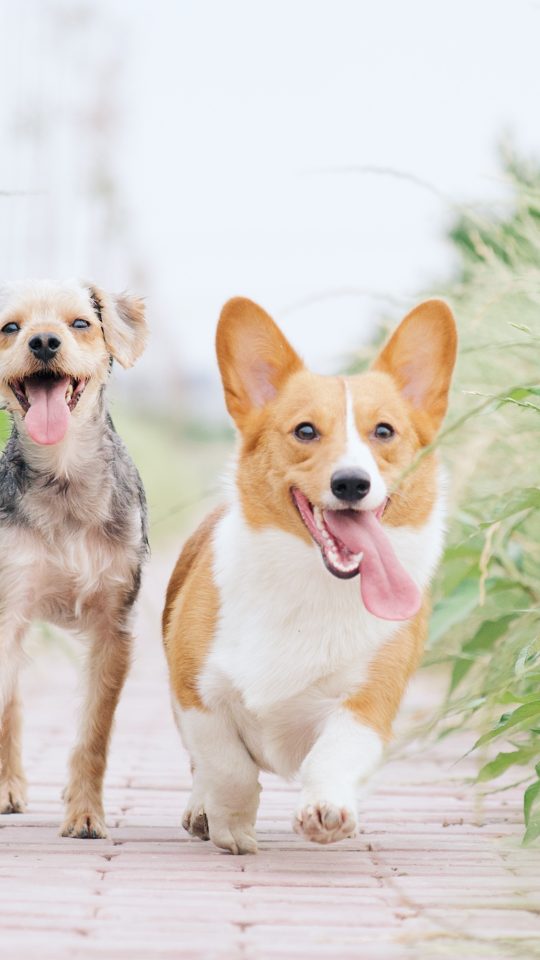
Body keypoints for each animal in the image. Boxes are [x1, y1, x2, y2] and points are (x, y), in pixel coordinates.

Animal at [0, 280, 148, 840]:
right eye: (10, 327)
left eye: (81, 323)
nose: (43, 341)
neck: (62, 472)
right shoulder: (8, 608)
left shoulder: (113, 626)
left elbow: (94, 732)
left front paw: (85, 814)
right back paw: (9, 787)